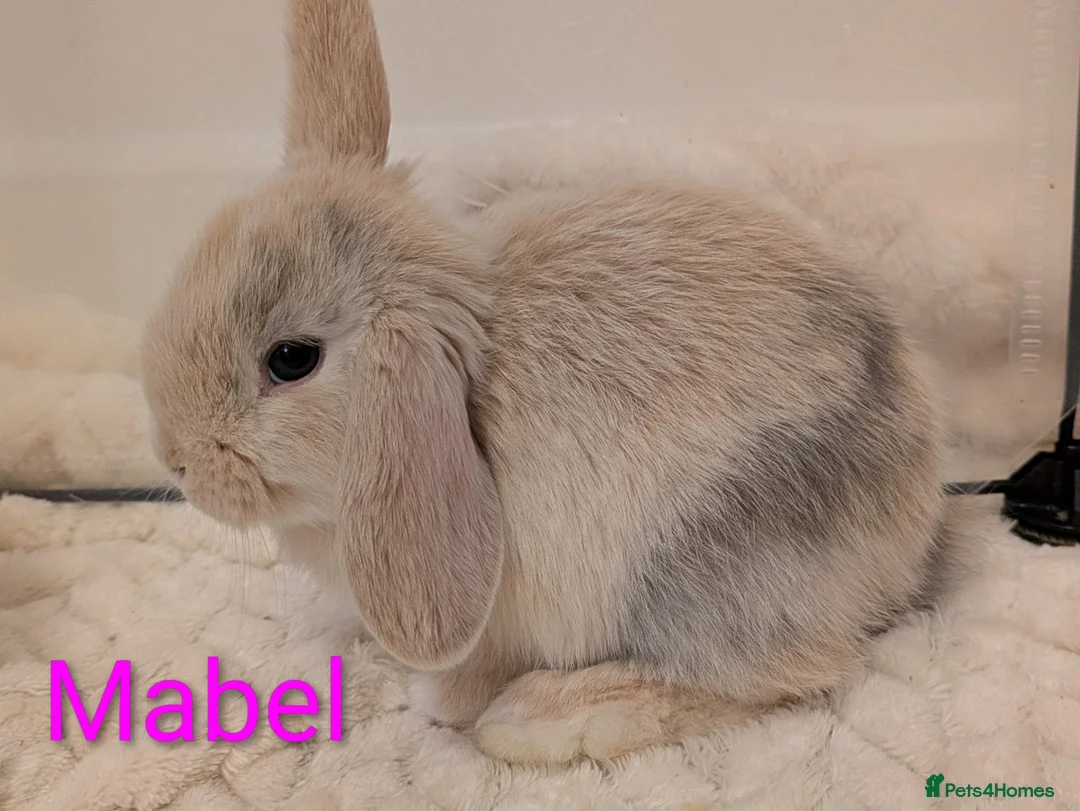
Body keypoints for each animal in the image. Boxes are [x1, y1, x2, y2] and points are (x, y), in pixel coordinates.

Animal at [140, 0, 970, 764]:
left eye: (290, 359)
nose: (175, 458)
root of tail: (915, 524)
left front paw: (436, 697)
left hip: (700, 563)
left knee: (783, 673)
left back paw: (544, 716)